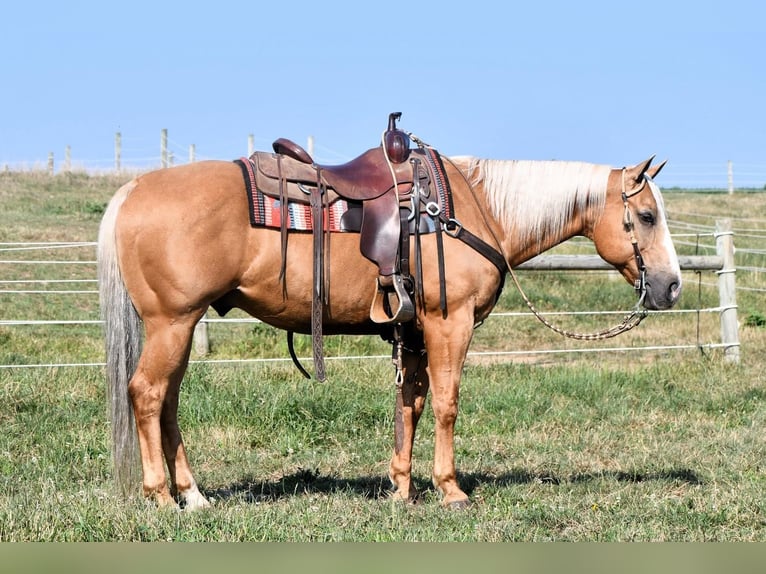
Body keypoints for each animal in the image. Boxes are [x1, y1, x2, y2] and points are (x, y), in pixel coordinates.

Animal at [97, 145, 684, 512]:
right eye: (647, 216)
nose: (672, 287)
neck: (472, 210)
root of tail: (132, 191)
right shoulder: (450, 324)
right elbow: (446, 403)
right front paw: (450, 489)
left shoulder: (416, 332)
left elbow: (411, 404)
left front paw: (403, 488)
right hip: (172, 323)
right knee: (147, 394)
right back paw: (161, 495)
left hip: (179, 326)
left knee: (167, 402)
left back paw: (193, 495)